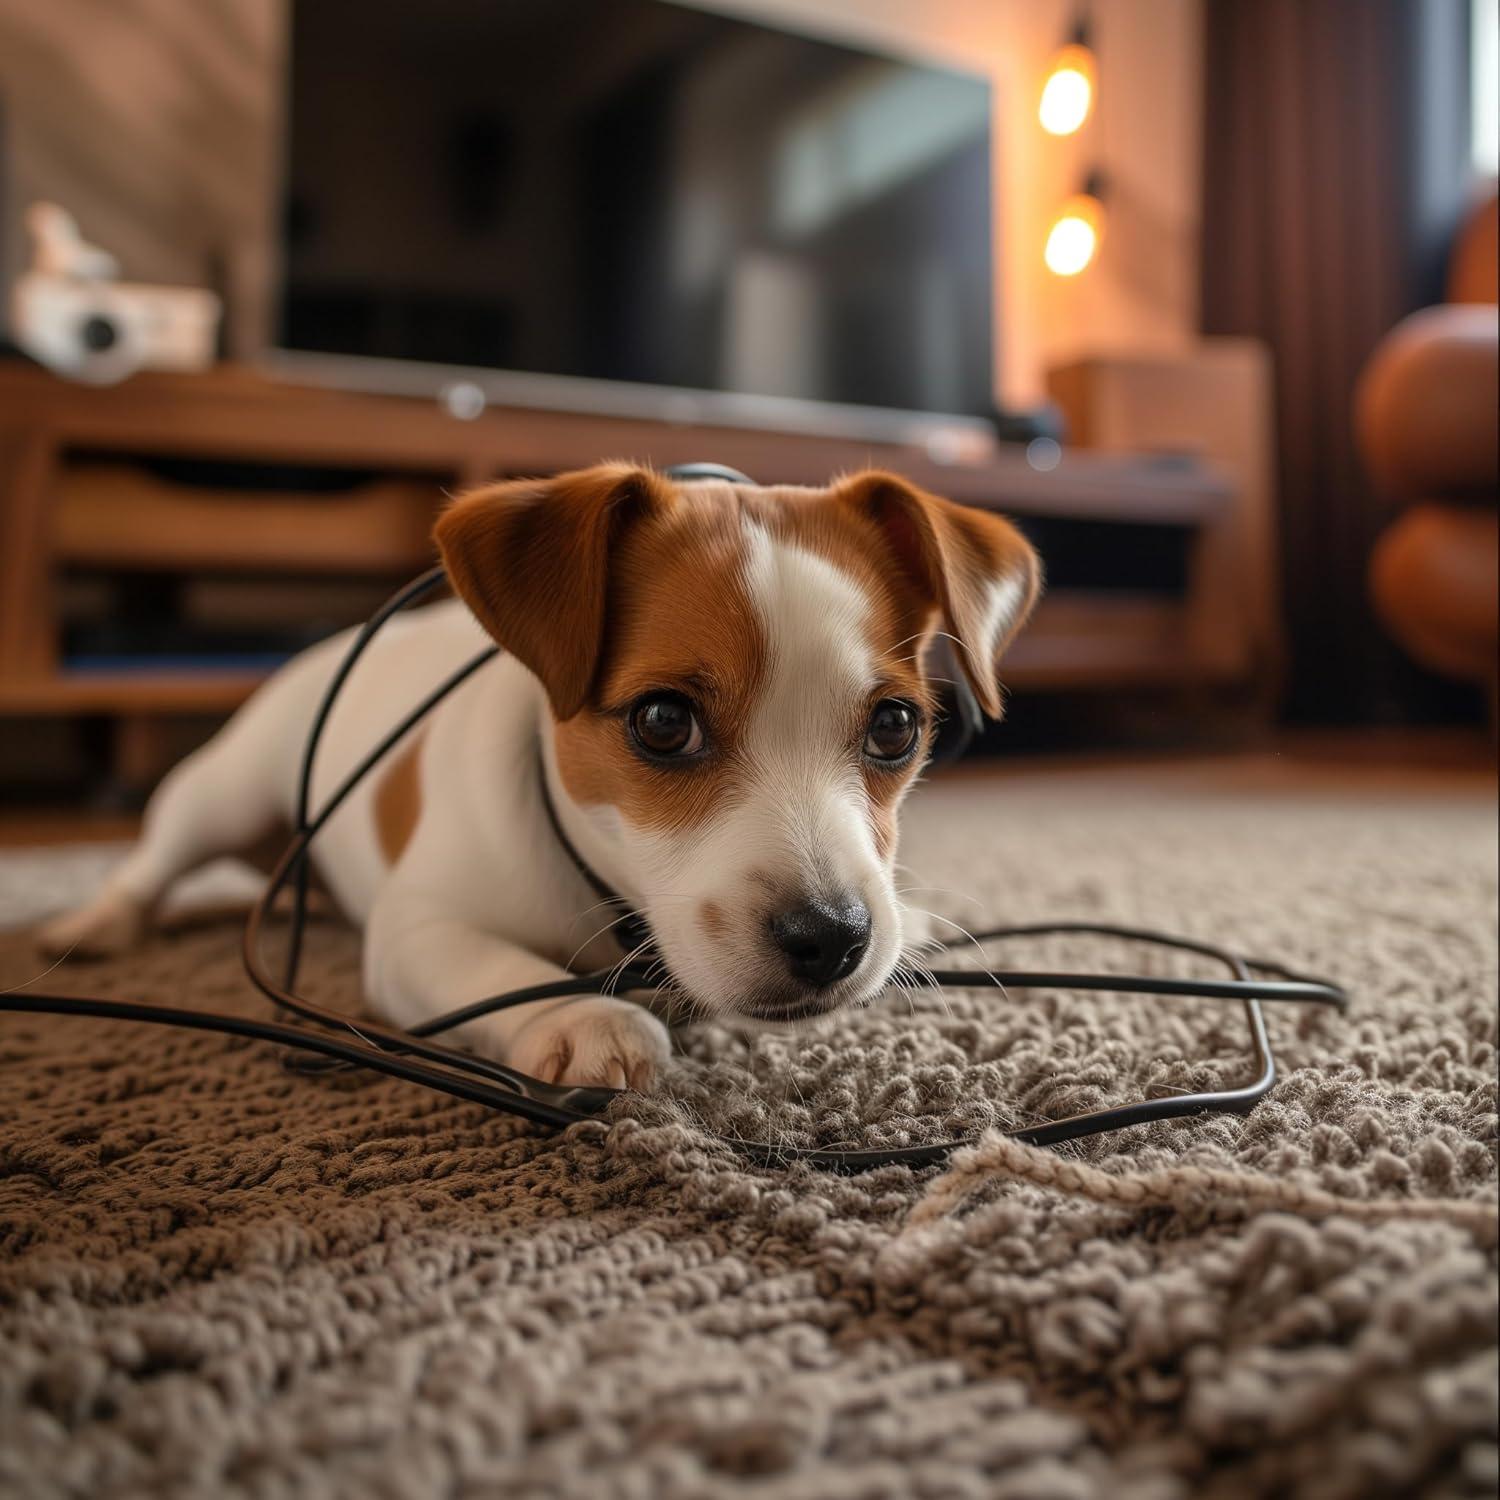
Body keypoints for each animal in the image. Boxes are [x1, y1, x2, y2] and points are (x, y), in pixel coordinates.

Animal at [41, 462, 1038, 1086]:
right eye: (663, 722)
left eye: (895, 727)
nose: (832, 937)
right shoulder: (417, 929)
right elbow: (492, 964)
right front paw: (581, 1020)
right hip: (223, 789)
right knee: (152, 860)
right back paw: (92, 923)